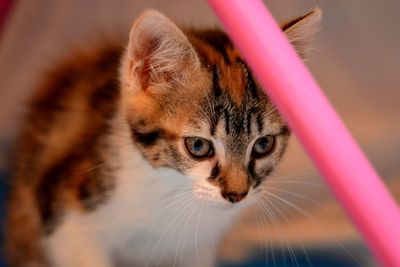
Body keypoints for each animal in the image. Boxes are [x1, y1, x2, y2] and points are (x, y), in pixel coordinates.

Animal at [4, 8, 320, 267]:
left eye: (264, 144)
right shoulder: (66, 218)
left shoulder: (198, 246)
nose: (236, 195)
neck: (172, 191)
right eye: (198, 146)